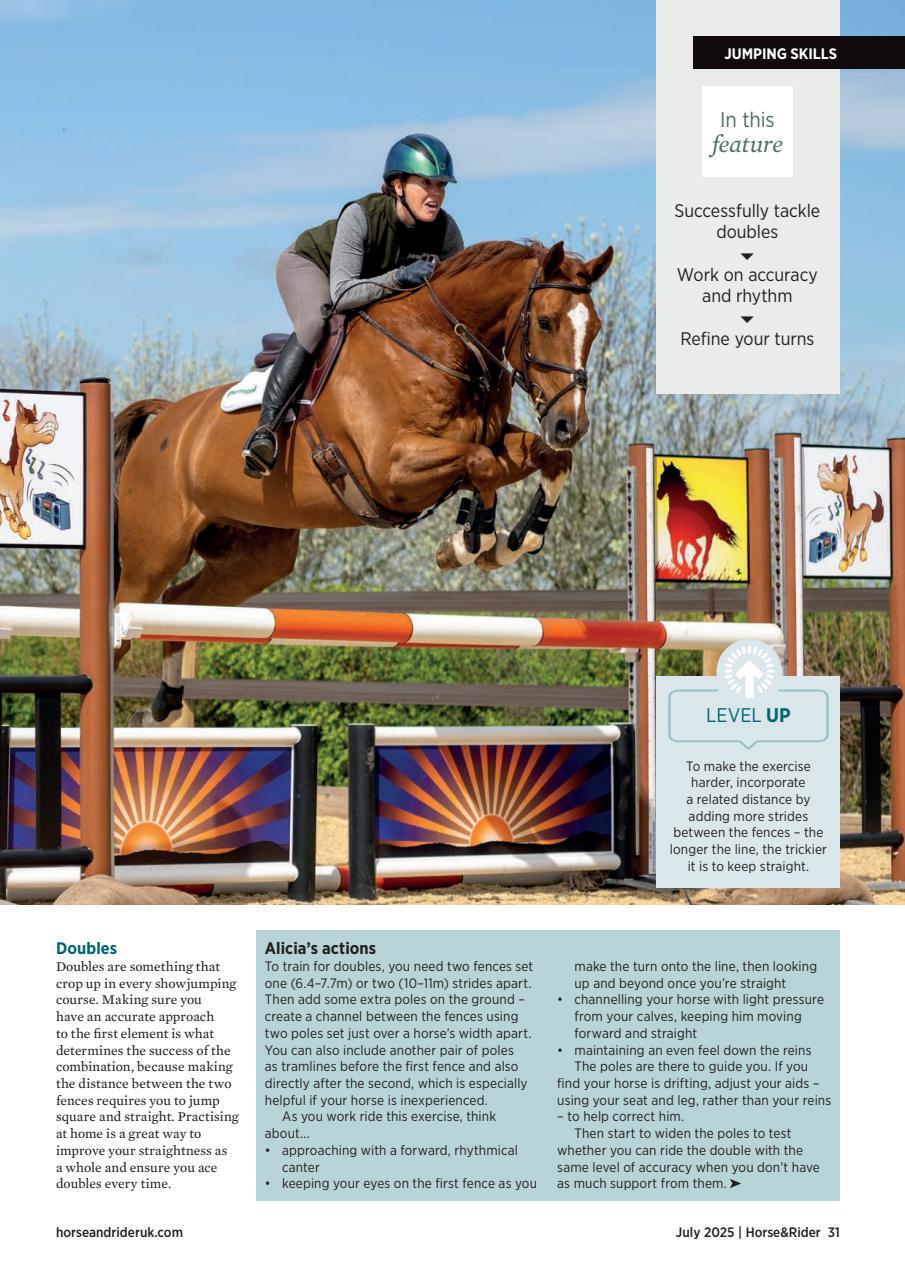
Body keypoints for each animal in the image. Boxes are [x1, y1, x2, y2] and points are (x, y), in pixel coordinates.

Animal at [0, 401, 59, 539]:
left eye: (35, 419)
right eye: (29, 422)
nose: (51, 415)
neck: (13, 473)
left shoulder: (19, 492)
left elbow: (19, 505)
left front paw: (14, 520)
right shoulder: (12, 494)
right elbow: (16, 506)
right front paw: (21, 526)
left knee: (3, 498)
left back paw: (6, 512)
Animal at [113, 239, 613, 723]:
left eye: (596, 329)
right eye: (545, 322)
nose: (571, 424)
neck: (440, 345)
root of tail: (165, 420)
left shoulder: (487, 445)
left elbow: (548, 461)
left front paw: (513, 540)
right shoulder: (391, 470)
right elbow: (481, 465)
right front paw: (470, 543)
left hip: (256, 558)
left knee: (179, 601)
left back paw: (166, 699)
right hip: (152, 558)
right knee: (123, 620)